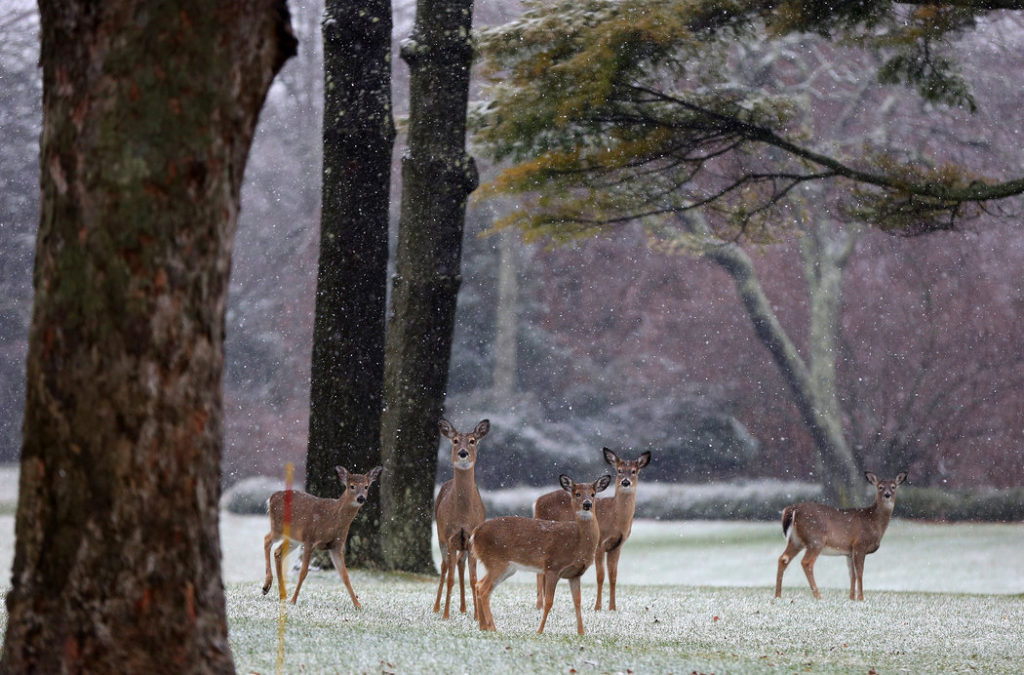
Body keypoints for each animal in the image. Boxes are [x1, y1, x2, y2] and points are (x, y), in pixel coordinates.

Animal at [262, 464, 383, 607]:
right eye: (352, 486)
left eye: (366, 486)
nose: (361, 498)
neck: (332, 519)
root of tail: (271, 497)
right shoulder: (310, 538)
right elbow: (303, 572)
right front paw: (293, 600)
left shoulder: (336, 546)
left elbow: (345, 575)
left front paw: (357, 605)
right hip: (278, 528)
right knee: (267, 539)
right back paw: (267, 586)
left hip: (294, 538)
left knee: (278, 552)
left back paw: (281, 594)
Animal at [433, 418, 489, 620]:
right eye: (455, 440)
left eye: (472, 441)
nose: (463, 453)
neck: (463, 515)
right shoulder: (450, 536)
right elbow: (450, 578)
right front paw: (445, 615)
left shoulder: (471, 538)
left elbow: (473, 579)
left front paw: (477, 617)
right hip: (440, 536)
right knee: (444, 567)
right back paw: (436, 607)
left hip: (463, 545)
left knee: (460, 564)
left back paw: (464, 608)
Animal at [471, 473, 612, 635]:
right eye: (577, 494)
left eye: (593, 494)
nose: (587, 504)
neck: (578, 542)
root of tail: (474, 534)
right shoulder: (552, 566)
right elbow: (549, 601)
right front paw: (539, 631)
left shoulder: (575, 574)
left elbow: (577, 601)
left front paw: (581, 632)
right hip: (496, 562)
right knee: (484, 589)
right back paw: (493, 628)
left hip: (505, 567)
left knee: (479, 585)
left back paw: (483, 627)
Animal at [533, 447, 651, 611]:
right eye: (619, 470)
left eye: (634, 471)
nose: (625, 482)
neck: (615, 517)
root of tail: (536, 501)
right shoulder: (600, 544)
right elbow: (600, 576)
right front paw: (598, 607)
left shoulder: (617, 546)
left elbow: (613, 576)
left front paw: (612, 607)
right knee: (539, 572)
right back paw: (539, 605)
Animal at [775, 471, 908, 601]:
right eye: (880, 487)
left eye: (893, 487)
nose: (887, 494)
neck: (873, 521)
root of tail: (793, 509)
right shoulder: (860, 544)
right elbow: (860, 572)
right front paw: (861, 598)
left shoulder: (849, 551)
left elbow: (852, 575)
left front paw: (852, 598)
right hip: (816, 539)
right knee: (806, 562)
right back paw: (818, 596)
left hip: (796, 540)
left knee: (783, 558)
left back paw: (778, 595)